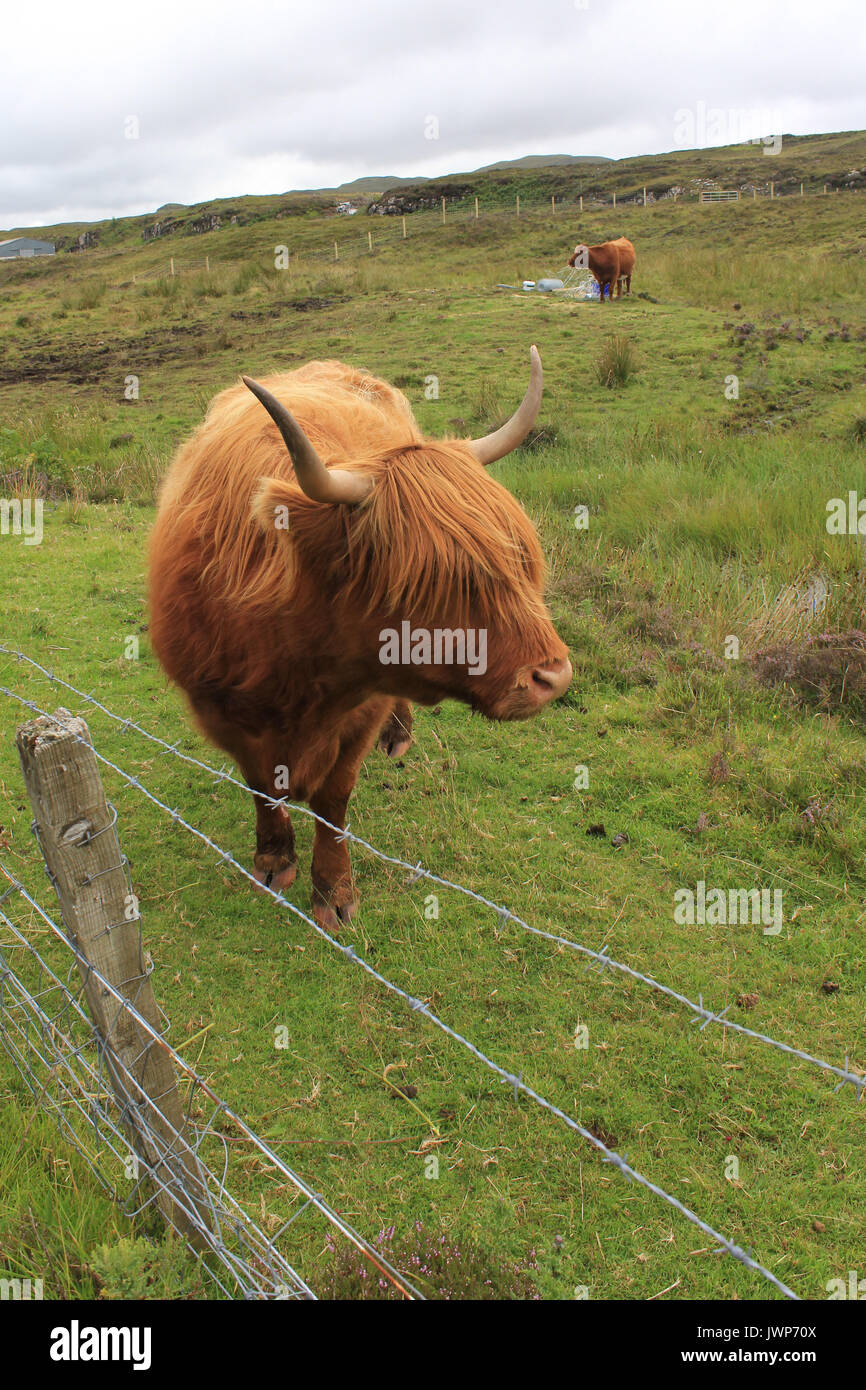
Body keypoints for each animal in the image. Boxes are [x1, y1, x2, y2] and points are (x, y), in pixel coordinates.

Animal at [148, 348, 572, 932]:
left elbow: (333, 799)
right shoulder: (219, 711)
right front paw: (273, 858)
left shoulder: (361, 710)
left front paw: (333, 890)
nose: (553, 676)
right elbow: (261, 787)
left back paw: (400, 734)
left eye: (522, 561)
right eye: (436, 581)